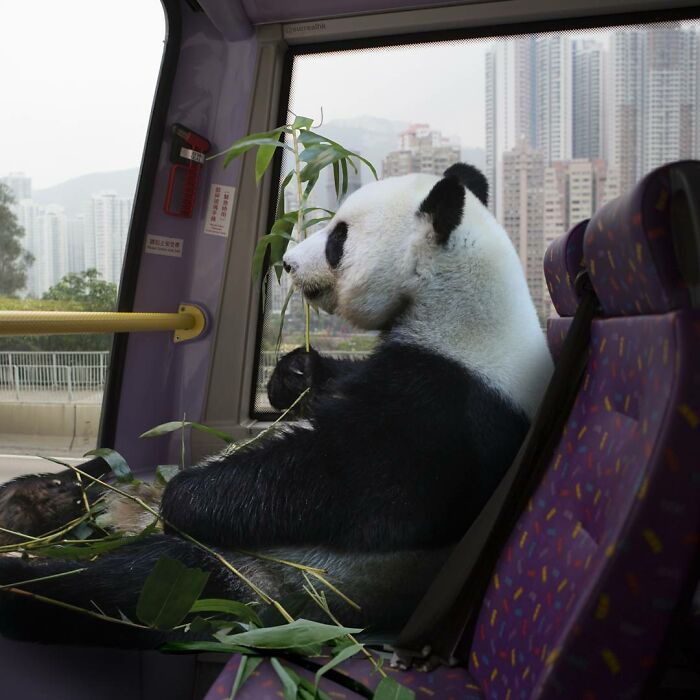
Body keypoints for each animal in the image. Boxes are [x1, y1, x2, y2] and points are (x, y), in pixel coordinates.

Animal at [0, 163, 552, 648]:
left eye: (337, 239)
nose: (286, 263)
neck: (460, 305)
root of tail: (126, 516)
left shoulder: (450, 408)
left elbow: (336, 482)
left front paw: (187, 497)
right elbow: (323, 393)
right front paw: (293, 373)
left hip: (247, 576)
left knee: (126, 581)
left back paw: (31, 568)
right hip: (140, 485)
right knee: (93, 479)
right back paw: (32, 501)